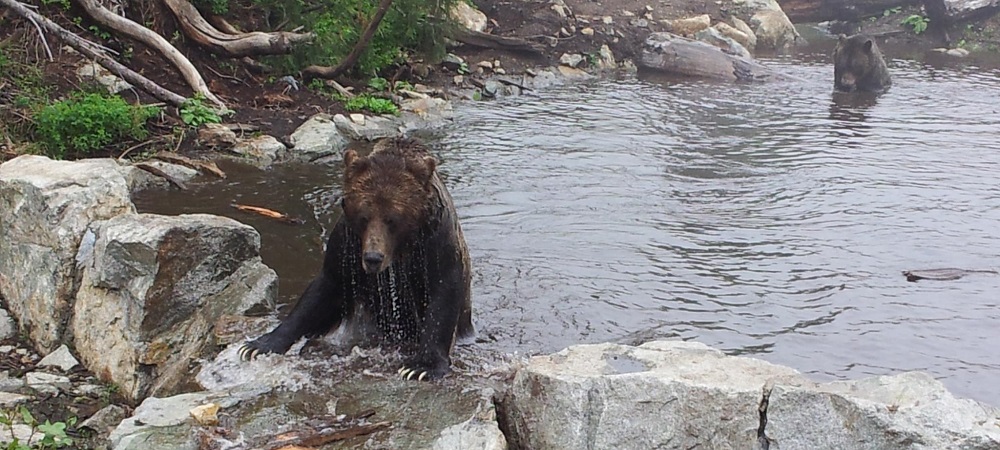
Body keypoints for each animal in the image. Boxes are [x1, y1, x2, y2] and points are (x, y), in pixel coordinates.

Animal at [242, 136, 476, 380]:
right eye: (364, 216)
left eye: (393, 219)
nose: (373, 257)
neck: (402, 250)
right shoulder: (348, 244)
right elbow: (323, 290)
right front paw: (258, 345)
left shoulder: (436, 243)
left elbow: (443, 293)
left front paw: (420, 367)